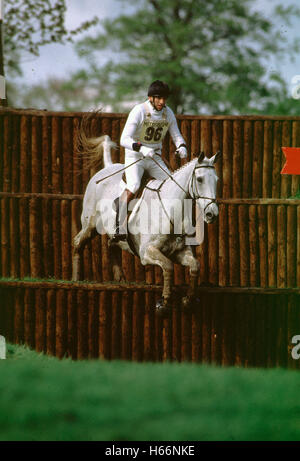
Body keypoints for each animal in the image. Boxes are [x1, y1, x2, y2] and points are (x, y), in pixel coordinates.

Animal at [71, 131, 219, 314]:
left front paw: (188, 300)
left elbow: (195, 266)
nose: (212, 214)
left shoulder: (180, 251)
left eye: (217, 180)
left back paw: (120, 278)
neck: (170, 210)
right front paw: (164, 302)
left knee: (111, 244)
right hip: (91, 224)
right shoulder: (146, 252)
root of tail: (106, 168)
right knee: (78, 242)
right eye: (199, 179)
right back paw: (76, 279)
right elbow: (168, 266)